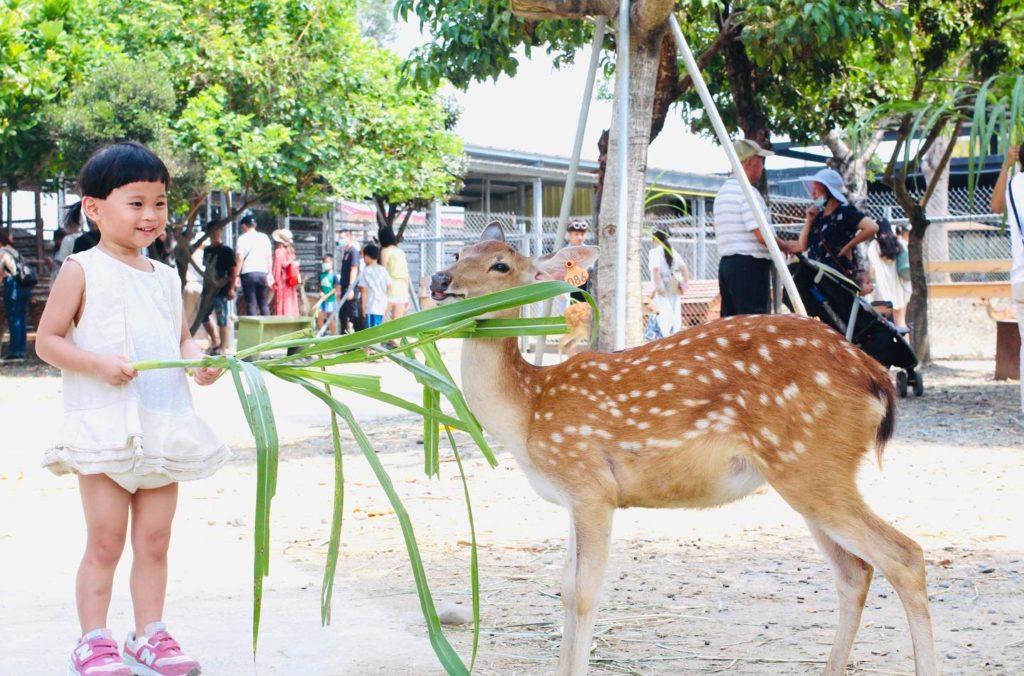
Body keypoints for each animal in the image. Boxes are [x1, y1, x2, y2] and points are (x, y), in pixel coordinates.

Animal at [429, 223, 938, 676]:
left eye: (500, 264)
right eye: (458, 253)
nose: (438, 280)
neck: (529, 410)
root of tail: (876, 379)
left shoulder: (590, 484)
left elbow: (585, 593)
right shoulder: (572, 499)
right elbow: (565, 589)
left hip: (811, 464)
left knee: (904, 555)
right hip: (809, 473)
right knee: (856, 571)